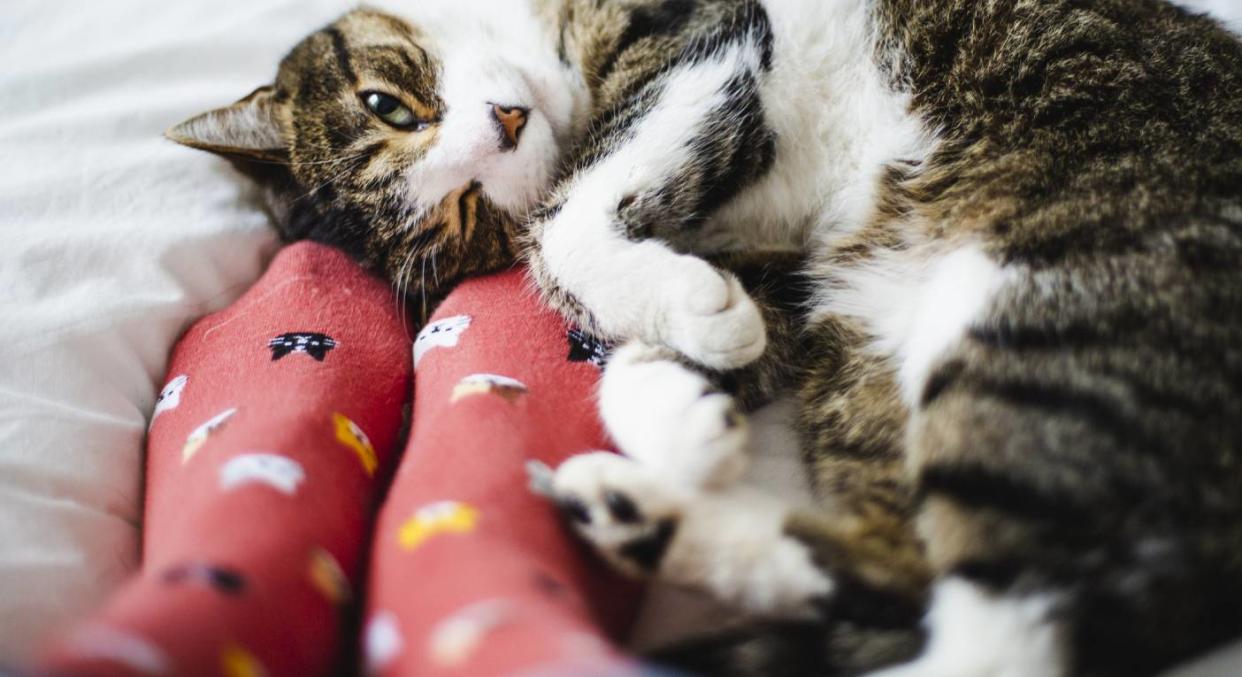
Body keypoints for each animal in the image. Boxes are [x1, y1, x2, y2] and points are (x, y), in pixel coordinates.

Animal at [170, 2, 1242, 670]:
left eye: (390, 104)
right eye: (464, 214)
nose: (507, 123)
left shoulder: (701, 44)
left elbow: (572, 215)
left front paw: (677, 331)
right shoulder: (793, 263)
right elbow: (678, 303)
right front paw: (678, 392)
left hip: (1047, 302)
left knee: (1002, 641)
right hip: (870, 331)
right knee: (906, 570)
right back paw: (635, 510)